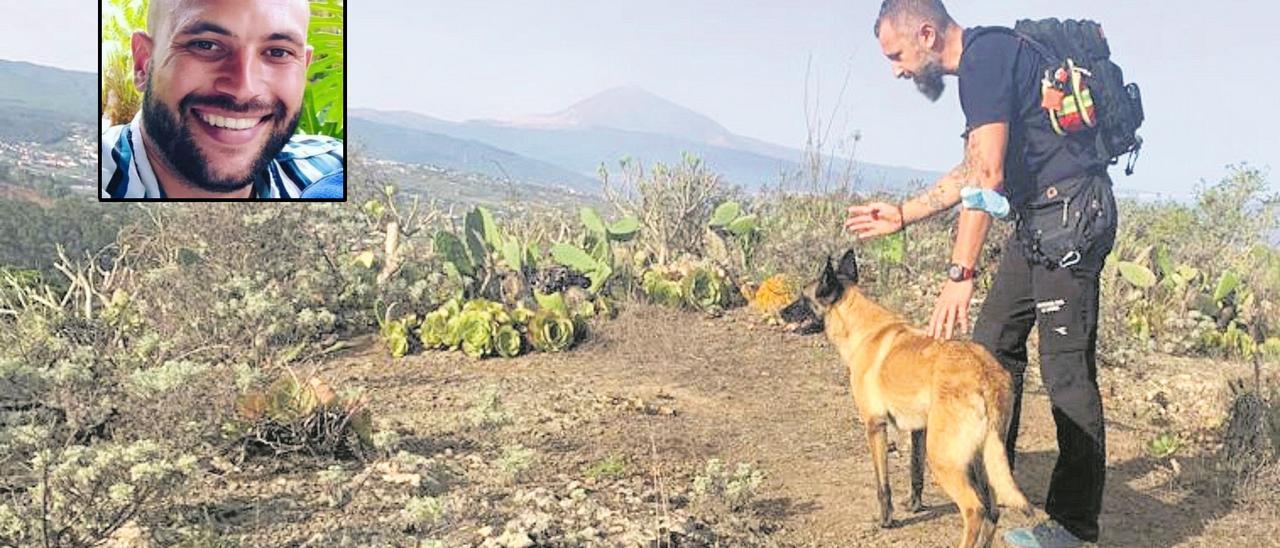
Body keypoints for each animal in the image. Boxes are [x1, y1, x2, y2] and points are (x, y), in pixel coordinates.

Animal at [778, 250, 1029, 548]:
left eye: (803, 297)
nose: (780, 312)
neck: (863, 327)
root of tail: (984, 374)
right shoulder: (919, 430)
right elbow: (915, 472)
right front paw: (914, 505)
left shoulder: (874, 426)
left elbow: (882, 484)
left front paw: (886, 520)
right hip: (982, 458)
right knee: (992, 510)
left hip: (944, 459)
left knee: (974, 509)